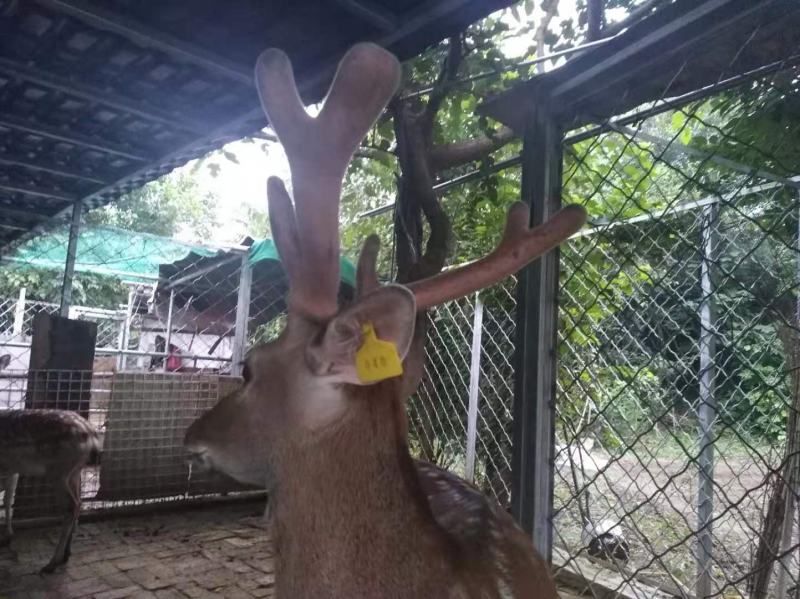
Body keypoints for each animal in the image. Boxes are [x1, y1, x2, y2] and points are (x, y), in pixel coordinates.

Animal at [0, 354, 102, 573]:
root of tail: (91, 436)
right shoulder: (12, 469)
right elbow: (8, 500)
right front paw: (8, 536)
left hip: (59, 470)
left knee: (71, 506)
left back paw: (52, 562)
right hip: (74, 472)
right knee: (79, 503)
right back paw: (67, 553)